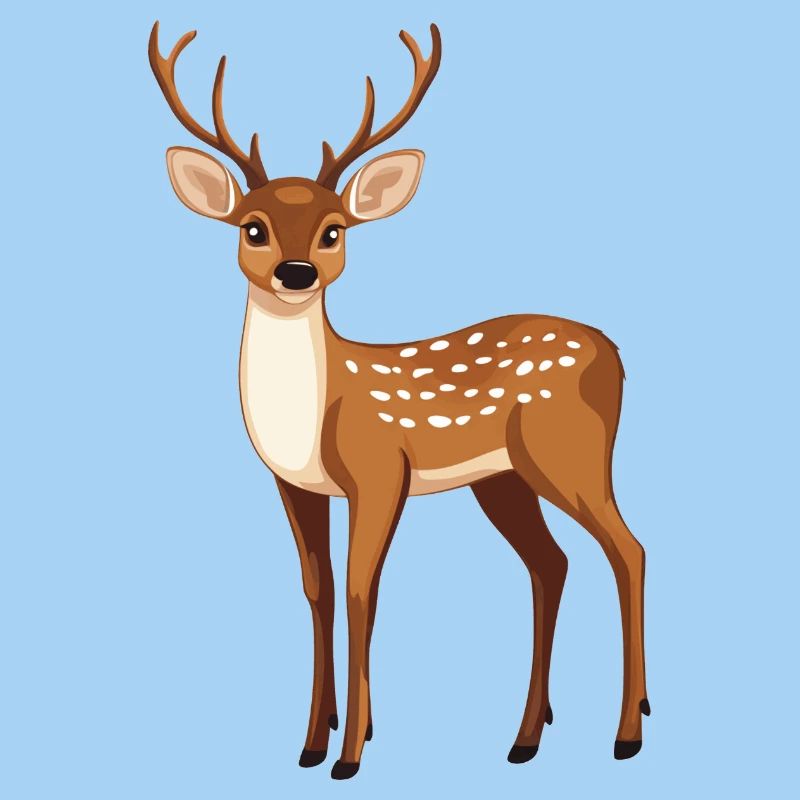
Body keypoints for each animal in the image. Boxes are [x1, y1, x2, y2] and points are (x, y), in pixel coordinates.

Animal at [148, 20, 649, 780]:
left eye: (335, 229)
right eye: (252, 226)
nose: (297, 272)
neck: (313, 411)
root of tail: (615, 352)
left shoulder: (380, 469)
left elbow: (362, 591)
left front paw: (351, 753)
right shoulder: (294, 485)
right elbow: (318, 589)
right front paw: (311, 742)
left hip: (567, 452)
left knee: (628, 550)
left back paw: (627, 733)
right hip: (503, 478)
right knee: (551, 563)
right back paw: (525, 738)